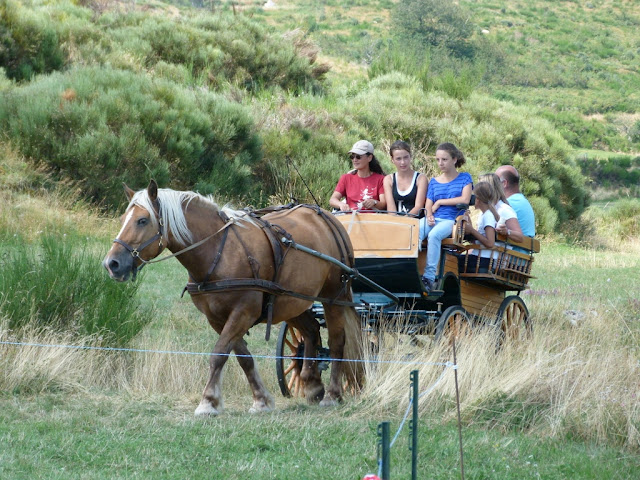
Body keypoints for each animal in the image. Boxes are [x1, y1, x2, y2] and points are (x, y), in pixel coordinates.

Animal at [105, 180, 364, 416]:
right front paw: (261, 400)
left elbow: (219, 353)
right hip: (293, 300)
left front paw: (208, 402)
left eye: (142, 220)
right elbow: (243, 357)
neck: (218, 251)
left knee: (337, 342)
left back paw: (332, 394)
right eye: (123, 219)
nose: (111, 263)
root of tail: (327, 219)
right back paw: (312, 384)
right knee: (311, 331)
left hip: (333, 298)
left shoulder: (243, 312)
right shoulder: (217, 318)